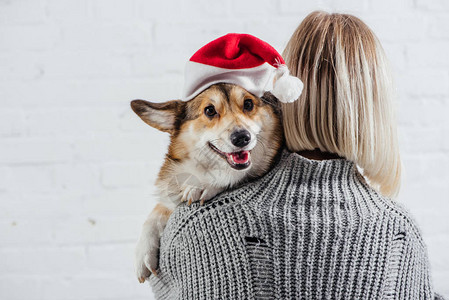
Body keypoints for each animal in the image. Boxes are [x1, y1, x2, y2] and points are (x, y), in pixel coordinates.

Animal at [131, 83, 282, 282]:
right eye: (209, 110)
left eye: (248, 104)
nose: (242, 137)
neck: (199, 167)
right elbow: (154, 215)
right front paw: (142, 253)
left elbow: (228, 176)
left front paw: (202, 185)